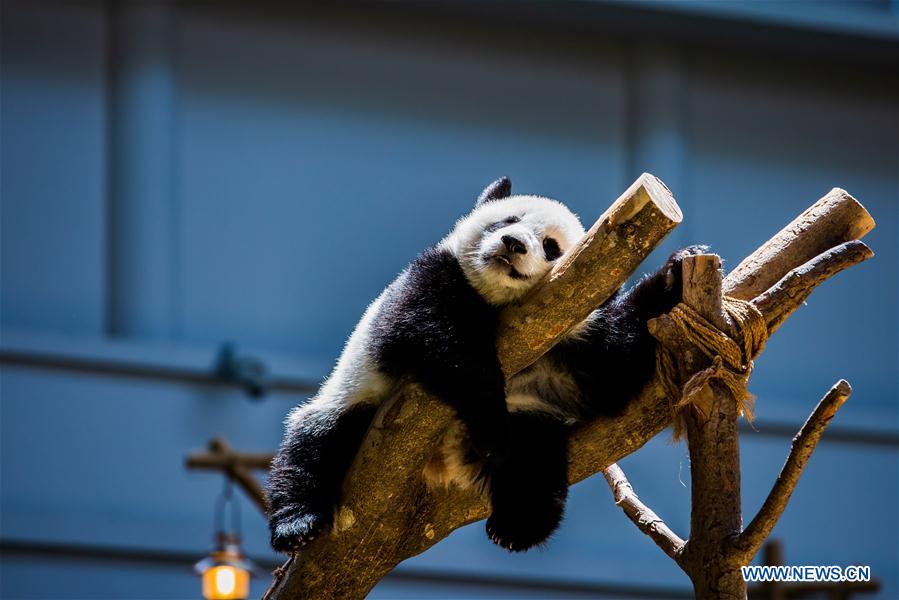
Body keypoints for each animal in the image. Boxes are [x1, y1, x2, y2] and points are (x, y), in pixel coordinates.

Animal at [268, 177, 704, 552]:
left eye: (550, 246)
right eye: (508, 221)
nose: (512, 243)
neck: (497, 304)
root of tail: (442, 466)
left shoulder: (568, 339)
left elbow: (615, 375)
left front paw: (677, 273)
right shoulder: (430, 277)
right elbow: (430, 335)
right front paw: (488, 413)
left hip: (529, 418)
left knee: (534, 457)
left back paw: (517, 526)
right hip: (354, 398)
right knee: (313, 445)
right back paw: (297, 524)